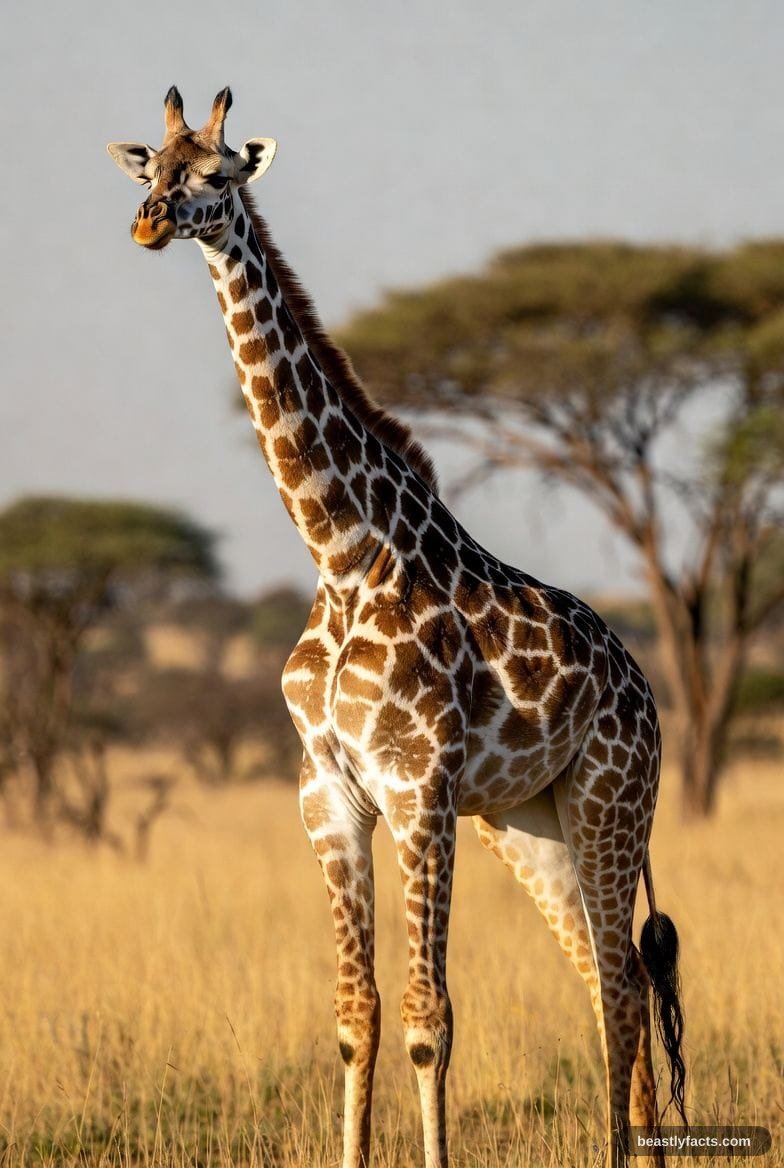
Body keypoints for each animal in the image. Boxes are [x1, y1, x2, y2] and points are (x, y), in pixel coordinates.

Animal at [108, 87, 686, 1168]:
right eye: (152, 167)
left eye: (217, 174)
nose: (150, 224)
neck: (344, 553)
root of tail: (642, 684)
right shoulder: (329, 794)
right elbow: (357, 1016)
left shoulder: (419, 793)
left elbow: (429, 1018)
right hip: (528, 823)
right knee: (607, 977)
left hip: (611, 802)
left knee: (624, 985)